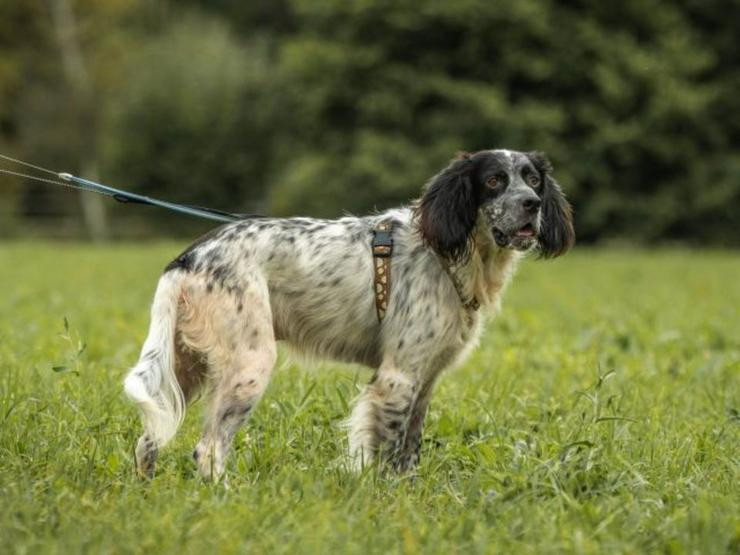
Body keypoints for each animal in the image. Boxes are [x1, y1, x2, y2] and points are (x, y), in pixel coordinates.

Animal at [123, 150, 572, 480]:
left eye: (533, 179)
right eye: (494, 180)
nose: (531, 204)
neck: (446, 253)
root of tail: (190, 256)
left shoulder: (424, 379)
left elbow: (409, 450)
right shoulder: (398, 377)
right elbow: (389, 453)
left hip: (185, 366)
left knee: (149, 441)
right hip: (249, 363)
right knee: (208, 449)